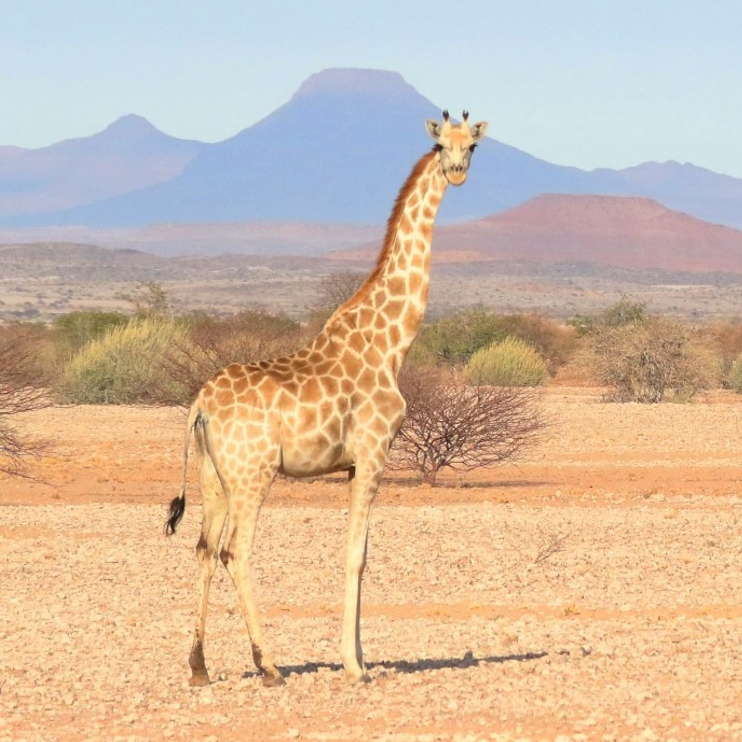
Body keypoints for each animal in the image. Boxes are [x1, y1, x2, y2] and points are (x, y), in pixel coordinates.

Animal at [166, 110, 488, 686]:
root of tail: (200, 403)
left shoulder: (355, 463)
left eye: (472, 145)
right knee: (235, 551)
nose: (455, 171)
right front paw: (355, 665)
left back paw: (199, 666)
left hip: (212, 474)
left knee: (203, 549)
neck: (390, 344)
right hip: (254, 472)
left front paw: (361, 656)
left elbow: (362, 552)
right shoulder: (374, 452)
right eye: (439, 143)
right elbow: (356, 555)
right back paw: (268, 665)